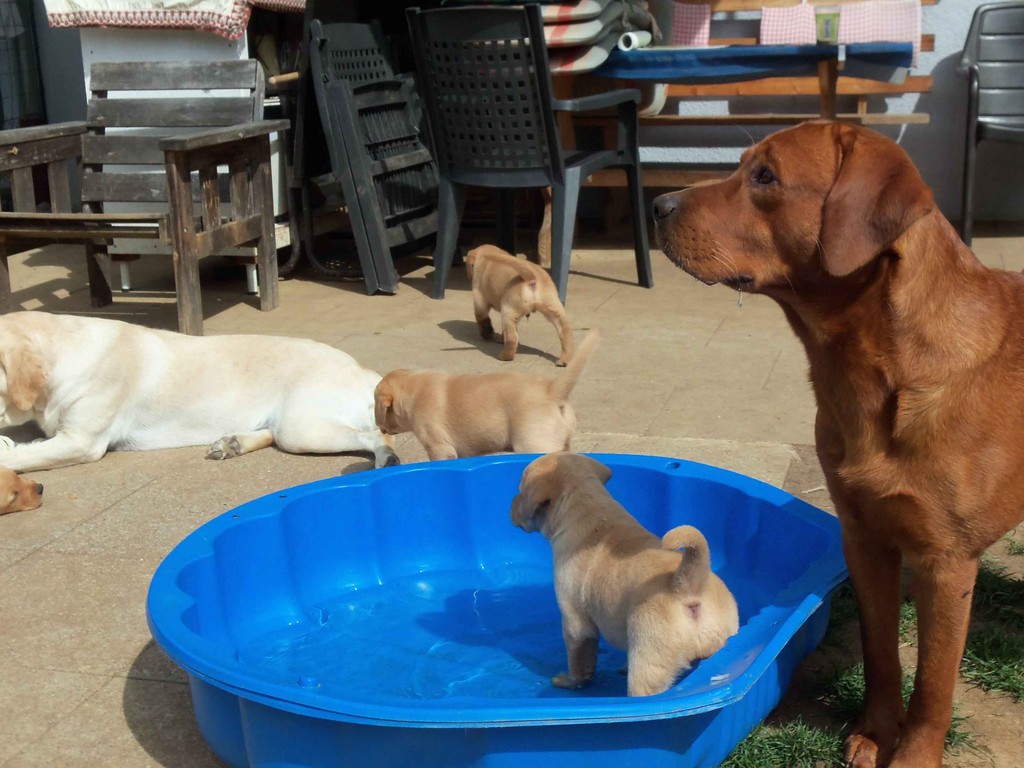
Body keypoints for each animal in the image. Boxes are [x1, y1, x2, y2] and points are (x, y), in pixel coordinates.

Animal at [0, 311, 395, 468]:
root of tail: (366, 372)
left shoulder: (82, 442)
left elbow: (21, 456)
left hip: (302, 428)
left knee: (376, 436)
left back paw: (385, 458)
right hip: (290, 425)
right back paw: (232, 443)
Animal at [509, 454, 737, 700]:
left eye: (520, 490)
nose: (511, 502)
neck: (590, 506)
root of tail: (688, 583)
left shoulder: (574, 620)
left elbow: (579, 660)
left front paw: (569, 681)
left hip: (648, 659)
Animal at [651, 120, 1024, 768]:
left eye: (765, 176)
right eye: (740, 165)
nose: (656, 206)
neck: (873, 374)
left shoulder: (946, 562)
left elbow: (934, 685)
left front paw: (913, 757)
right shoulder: (862, 536)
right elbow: (881, 653)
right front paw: (875, 731)